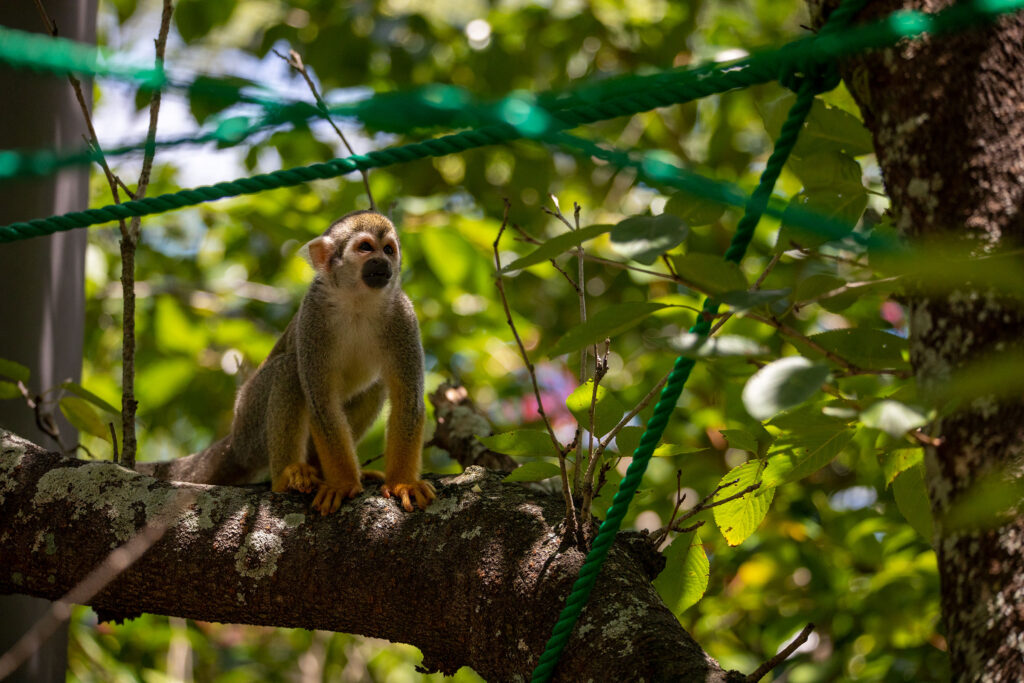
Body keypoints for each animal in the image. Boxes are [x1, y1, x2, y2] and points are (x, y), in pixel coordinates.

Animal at [138, 209, 434, 511]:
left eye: (389, 250)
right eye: (365, 247)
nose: (382, 263)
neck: (357, 303)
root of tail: (234, 440)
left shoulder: (402, 315)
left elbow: (408, 402)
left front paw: (402, 483)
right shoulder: (313, 314)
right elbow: (322, 405)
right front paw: (342, 484)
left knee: (374, 386)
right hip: (251, 421)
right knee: (289, 368)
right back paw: (287, 477)